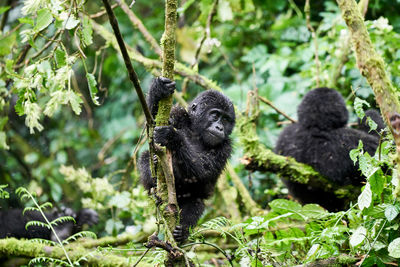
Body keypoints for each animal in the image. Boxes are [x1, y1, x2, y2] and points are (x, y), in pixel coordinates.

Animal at [140, 77, 236, 243]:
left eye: (225, 119)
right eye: (215, 115)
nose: (219, 128)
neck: (197, 132)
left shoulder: (226, 147)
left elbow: (203, 171)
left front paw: (172, 137)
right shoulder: (177, 114)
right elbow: (151, 126)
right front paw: (158, 90)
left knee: (196, 203)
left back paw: (182, 231)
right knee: (145, 157)